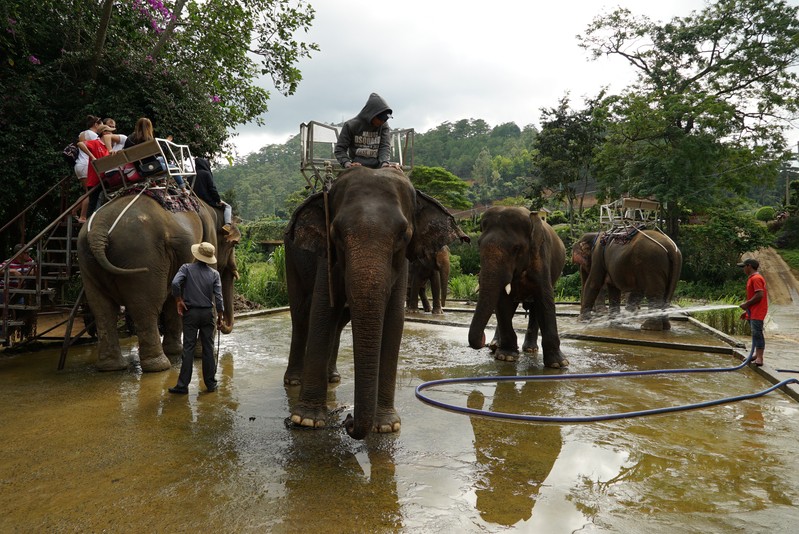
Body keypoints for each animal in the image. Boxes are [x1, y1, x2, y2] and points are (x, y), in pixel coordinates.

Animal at [77, 193, 241, 372]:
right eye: (234, 243)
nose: (222, 325)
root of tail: (98, 230)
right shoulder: (208, 236)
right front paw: (201, 353)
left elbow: (175, 296)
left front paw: (176, 351)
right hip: (142, 256)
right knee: (145, 306)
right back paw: (159, 366)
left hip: (87, 261)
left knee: (102, 310)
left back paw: (112, 366)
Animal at [282, 170, 468, 442]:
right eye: (336, 233)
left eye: (404, 235)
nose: (348, 420)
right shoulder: (327, 259)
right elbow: (321, 312)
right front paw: (305, 420)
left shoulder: (404, 265)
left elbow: (393, 321)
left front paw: (387, 426)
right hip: (290, 256)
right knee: (301, 314)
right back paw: (294, 382)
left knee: (339, 323)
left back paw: (333, 377)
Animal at [468, 207, 568, 370]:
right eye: (479, 244)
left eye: (516, 248)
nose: (483, 340)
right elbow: (502, 303)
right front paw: (506, 357)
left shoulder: (541, 256)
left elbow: (545, 300)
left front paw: (558, 364)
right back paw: (495, 346)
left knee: (534, 309)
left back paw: (530, 349)